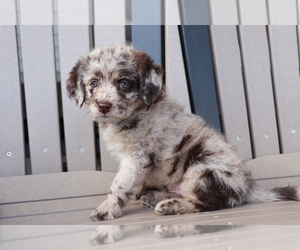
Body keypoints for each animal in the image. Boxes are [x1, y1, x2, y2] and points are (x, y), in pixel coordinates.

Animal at [66, 45, 300, 221]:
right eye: (93, 83)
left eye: (123, 83)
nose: (103, 106)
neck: (136, 113)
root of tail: (247, 188)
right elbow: (133, 183)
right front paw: (137, 192)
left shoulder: (136, 157)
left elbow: (119, 185)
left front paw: (106, 209)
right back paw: (157, 196)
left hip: (202, 170)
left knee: (209, 203)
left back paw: (171, 205)